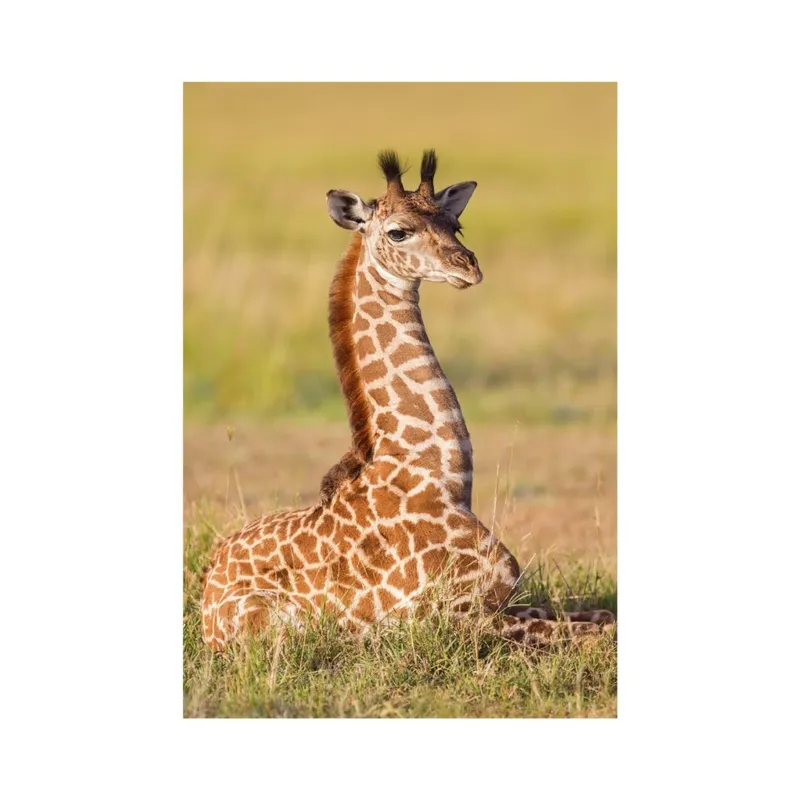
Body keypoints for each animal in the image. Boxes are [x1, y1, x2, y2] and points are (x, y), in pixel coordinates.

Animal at [201, 150, 615, 652]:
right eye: (399, 231)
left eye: (455, 224)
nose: (468, 267)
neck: (443, 477)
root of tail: (205, 596)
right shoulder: (460, 616)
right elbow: (596, 635)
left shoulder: (505, 602)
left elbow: (604, 617)